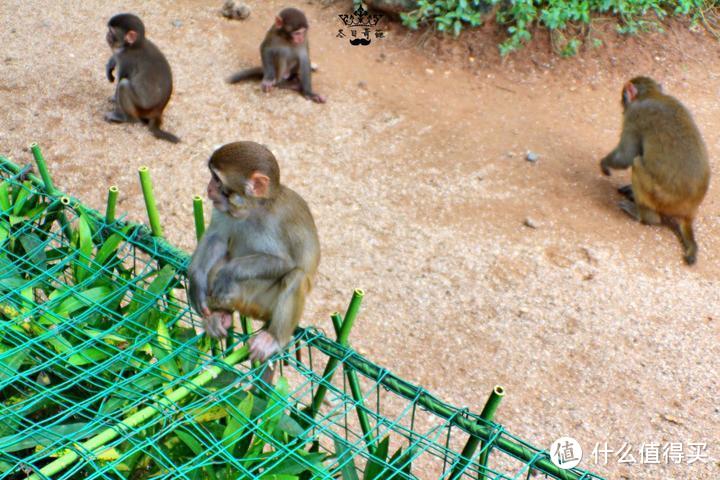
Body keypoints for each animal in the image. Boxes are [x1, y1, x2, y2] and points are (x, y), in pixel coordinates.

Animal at [105, 13, 181, 143]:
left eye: (112, 32)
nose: (107, 35)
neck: (133, 46)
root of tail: (158, 112)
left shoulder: (127, 59)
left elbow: (122, 79)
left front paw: (115, 101)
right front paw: (110, 65)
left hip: (142, 108)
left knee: (124, 85)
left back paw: (126, 118)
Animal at [187, 141, 320, 362]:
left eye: (217, 179)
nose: (209, 188)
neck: (253, 209)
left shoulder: (276, 222)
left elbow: (287, 263)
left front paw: (229, 273)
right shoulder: (223, 210)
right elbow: (217, 237)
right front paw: (196, 282)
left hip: (264, 304)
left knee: (296, 277)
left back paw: (273, 339)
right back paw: (220, 315)